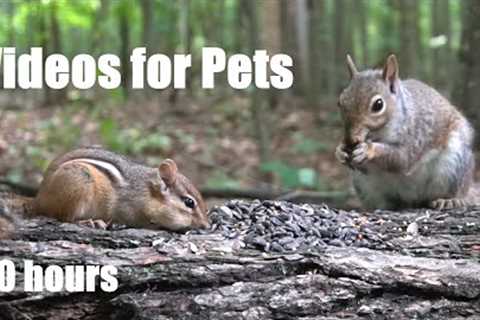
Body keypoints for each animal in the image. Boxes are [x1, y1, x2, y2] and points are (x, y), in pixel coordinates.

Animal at [336, 54, 478, 210]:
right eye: (340, 102)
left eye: (378, 105)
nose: (351, 140)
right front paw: (340, 151)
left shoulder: (417, 134)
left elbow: (402, 158)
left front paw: (368, 149)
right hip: (364, 184)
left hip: (454, 167)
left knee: (457, 192)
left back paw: (450, 200)